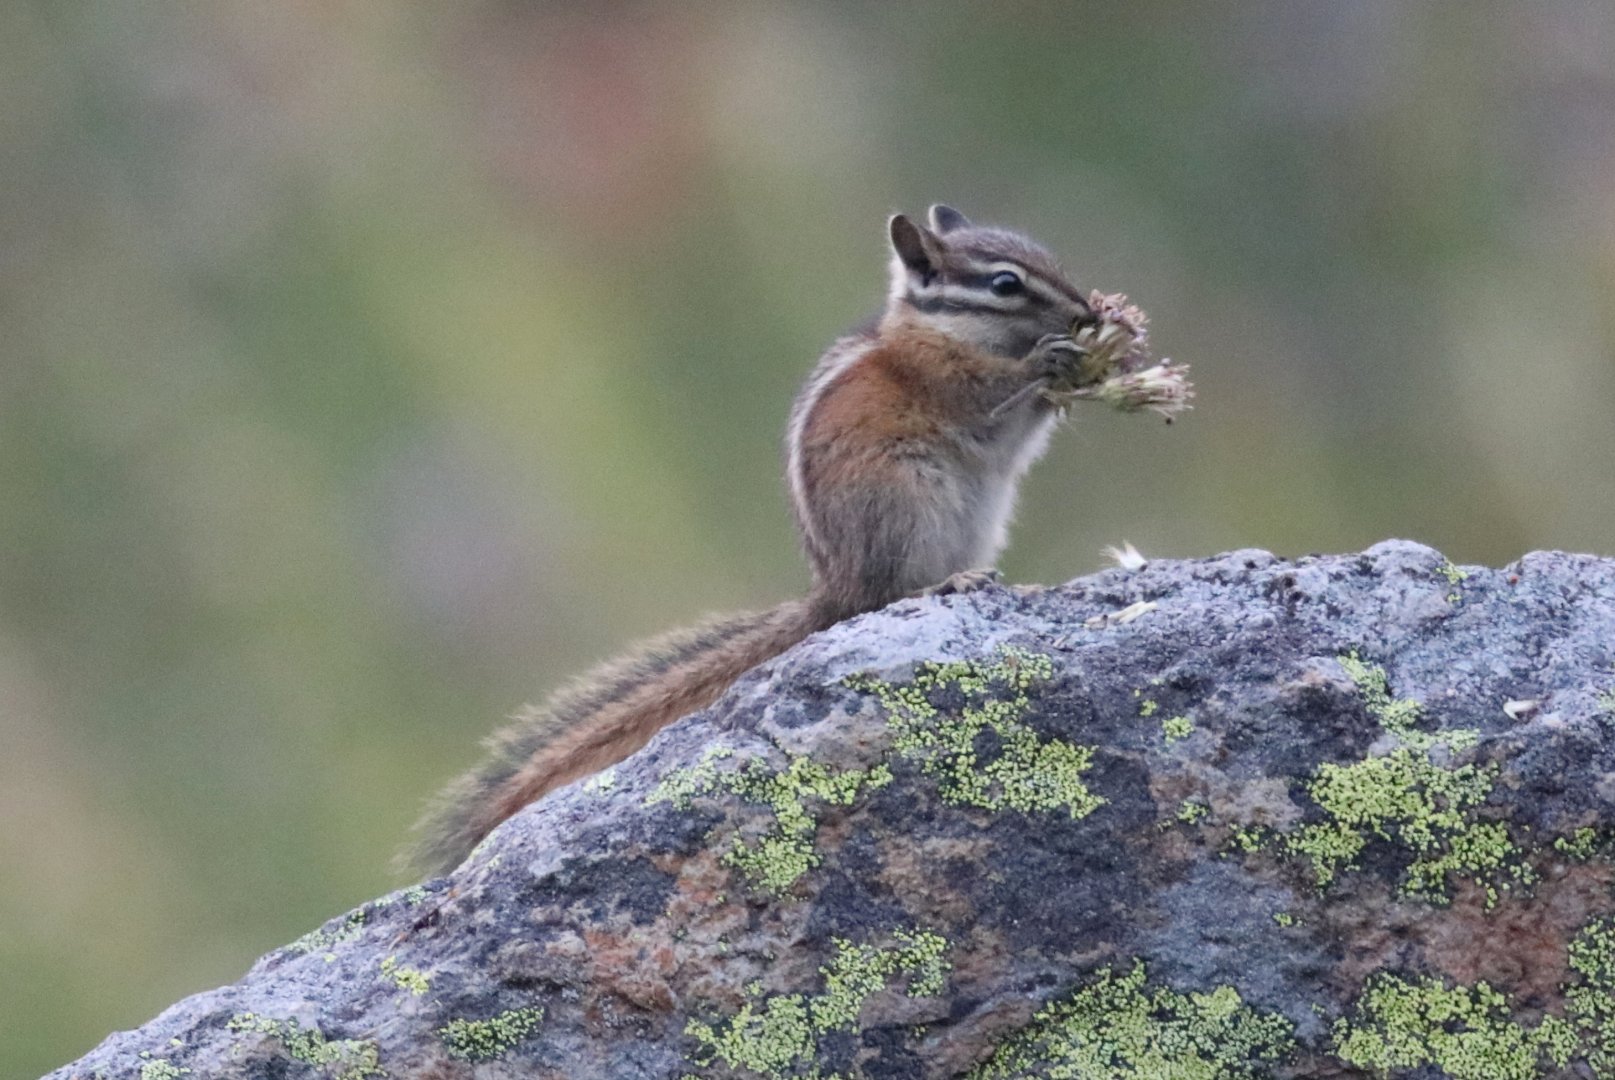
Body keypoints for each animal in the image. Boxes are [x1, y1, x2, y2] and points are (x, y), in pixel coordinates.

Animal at [406, 204, 1097, 874]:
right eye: (1006, 284)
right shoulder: (946, 380)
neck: (943, 331)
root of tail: (834, 590)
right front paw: (1049, 360)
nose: (1088, 313)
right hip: (905, 503)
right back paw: (946, 582)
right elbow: (990, 399)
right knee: (889, 593)